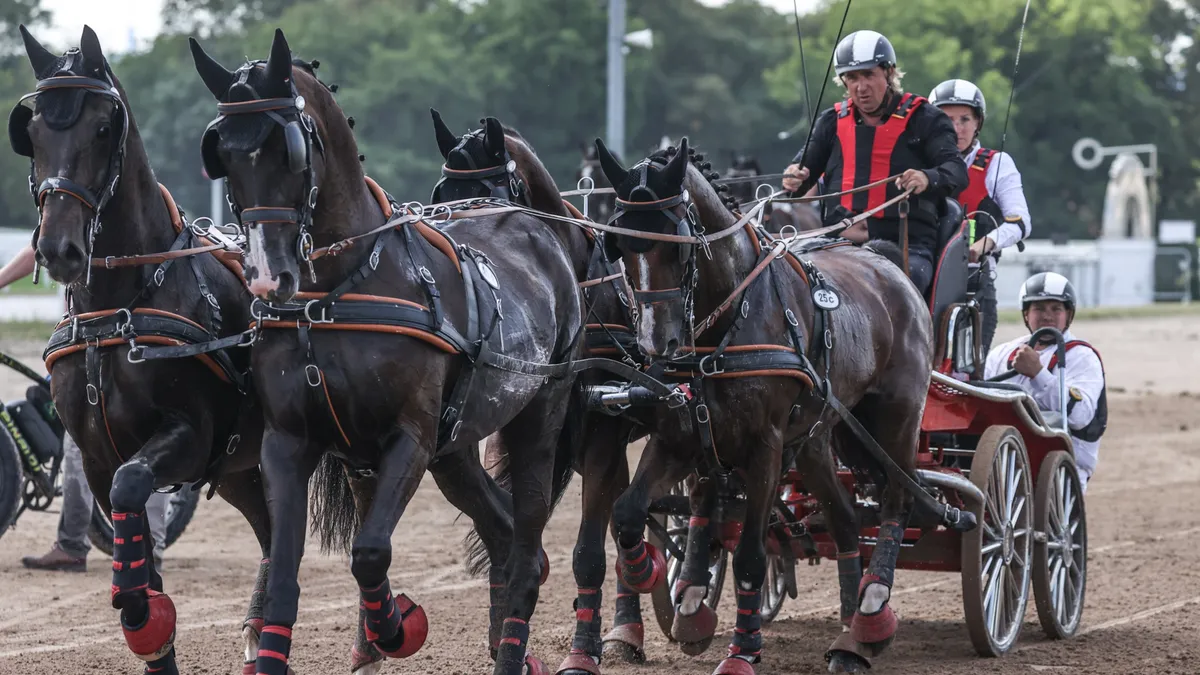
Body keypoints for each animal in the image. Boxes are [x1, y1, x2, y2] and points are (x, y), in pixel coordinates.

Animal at [11, 23, 271, 672]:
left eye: (103, 126)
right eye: (32, 131)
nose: (58, 250)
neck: (119, 308)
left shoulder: (188, 435)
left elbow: (135, 493)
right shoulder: (98, 456)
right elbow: (138, 560)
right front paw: (147, 624)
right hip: (241, 466)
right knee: (273, 531)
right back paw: (260, 630)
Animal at [189, 28, 592, 667]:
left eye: (289, 150)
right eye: (222, 153)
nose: (266, 277)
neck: (336, 292)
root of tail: (535, 226)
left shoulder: (410, 438)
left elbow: (370, 552)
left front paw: (395, 628)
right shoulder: (288, 441)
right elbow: (283, 572)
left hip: (537, 416)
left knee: (526, 546)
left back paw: (510, 645)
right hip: (456, 449)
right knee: (502, 533)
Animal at [597, 138, 936, 672]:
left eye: (677, 243)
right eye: (619, 244)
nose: (657, 342)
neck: (727, 323)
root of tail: (888, 265)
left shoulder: (765, 449)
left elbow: (751, 557)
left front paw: (742, 651)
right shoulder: (678, 437)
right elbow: (629, 512)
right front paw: (651, 576)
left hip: (897, 419)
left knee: (896, 501)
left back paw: (873, 606)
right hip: (818, 437)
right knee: (843, 518)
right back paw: (850, 632)